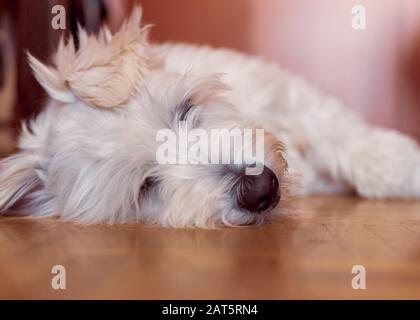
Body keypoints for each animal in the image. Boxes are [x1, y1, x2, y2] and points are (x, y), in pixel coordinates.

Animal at [0, 7, 420, 228]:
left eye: (185, 109)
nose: (258, 189)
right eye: (146, 186)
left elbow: (343, 135)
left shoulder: (289, 96)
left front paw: (403, 166)